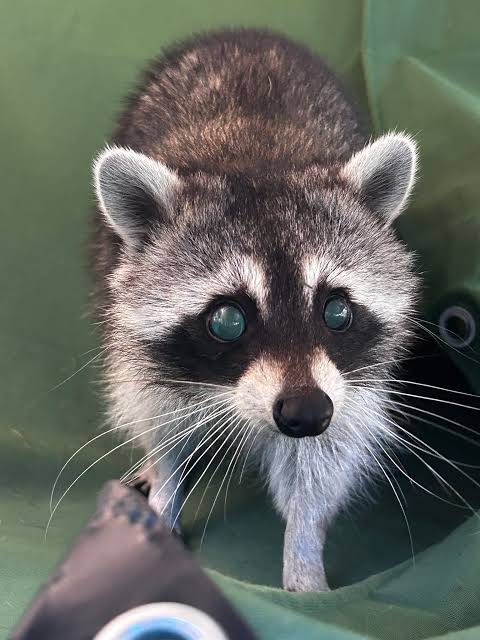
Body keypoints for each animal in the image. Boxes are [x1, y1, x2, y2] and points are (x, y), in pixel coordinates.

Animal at [93, 29, 418, 592]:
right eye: (227, 320)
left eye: (336, 312)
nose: (306, 413)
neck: (256, 161)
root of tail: (244, 35)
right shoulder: (141, 348)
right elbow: (163, 425)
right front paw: (165, 488)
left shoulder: (350, 387)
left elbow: (323, 460)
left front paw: (304, 554)